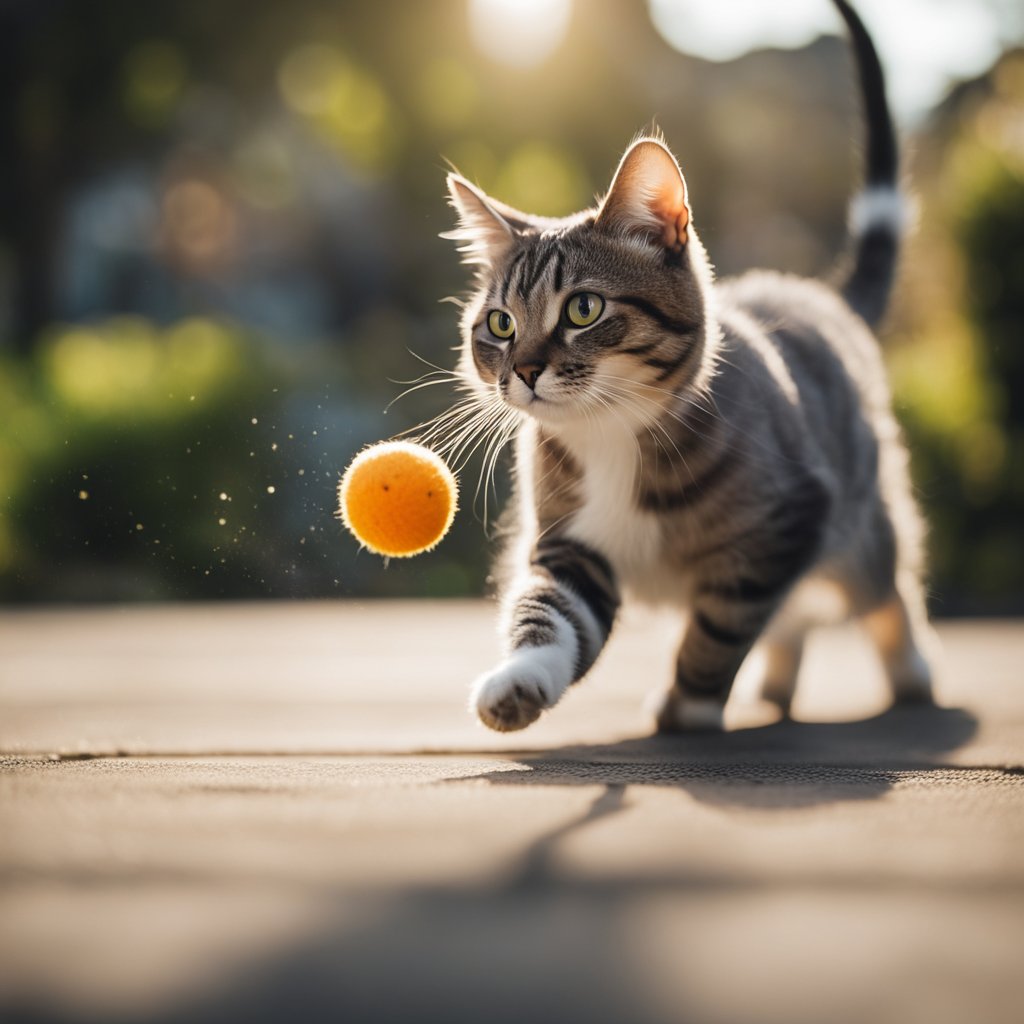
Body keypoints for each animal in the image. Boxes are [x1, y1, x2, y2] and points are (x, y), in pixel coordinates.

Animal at [440, 0, 937, 737]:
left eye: (583, 307)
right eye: (500, 325)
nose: (524, 370)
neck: (611, 432)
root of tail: (819, 295)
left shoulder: (787, 519)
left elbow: (722, 624)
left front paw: (690, 703)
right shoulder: (570, 541)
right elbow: (549, 613)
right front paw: (521, 680)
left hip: (857, 516)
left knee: (879, 587)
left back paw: (911, 670)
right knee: (797, 617)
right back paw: (776, 686)